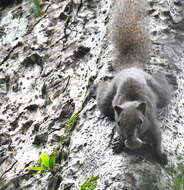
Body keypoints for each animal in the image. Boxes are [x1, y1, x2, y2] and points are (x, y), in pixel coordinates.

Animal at [95, 0, 178, 165]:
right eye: (119, 123)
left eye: (140, 121)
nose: (132, 143)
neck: (131, 101)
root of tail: (131, 67)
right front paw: (119, 143)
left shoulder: (152, 124)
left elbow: (157, 140)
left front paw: (160, 155)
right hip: (107, 99)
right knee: (103, 100)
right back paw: (99, 83)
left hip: (157, 89)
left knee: (162, 85)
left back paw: (167, 77)